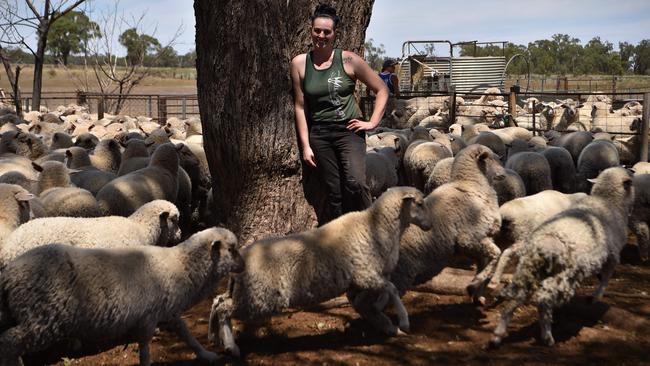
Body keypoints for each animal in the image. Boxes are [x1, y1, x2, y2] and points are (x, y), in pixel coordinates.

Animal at [0, 227, 243, 364]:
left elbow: (186, 333)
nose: (242, 266)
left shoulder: (167, 311)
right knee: (9, 342)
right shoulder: (148, 317)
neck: (180, 266)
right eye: (231, 249)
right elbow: (145, 350)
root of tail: (9, 274)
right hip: (44, 318)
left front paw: (206, 355)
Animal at [208, 187, 430, 356]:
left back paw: (214, 336)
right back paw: (231, 346)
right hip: (257, 297)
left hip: (244, 292)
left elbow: (376, 295)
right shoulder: (366, 274)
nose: (429, 225)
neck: (375, 226)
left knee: (218, 301)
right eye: (419, 203)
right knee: (223, 309)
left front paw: (385, 321)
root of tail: (241, 260)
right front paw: (403, 321)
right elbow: (391, 289)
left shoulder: (363, 280)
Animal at [486, 167, 632, 348]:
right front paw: (595, 297)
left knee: (510, 275)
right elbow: (605, 278)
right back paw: (547, 335)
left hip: (525, 257)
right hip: (548, 260)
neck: (607, 202)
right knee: (540, 296)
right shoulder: (612, 255)